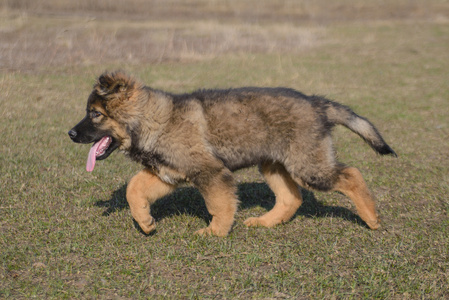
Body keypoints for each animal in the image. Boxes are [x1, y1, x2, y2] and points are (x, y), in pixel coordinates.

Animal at [68, 71, 394, 237]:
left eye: (95, 114)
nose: (70, 134)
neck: (153, 120)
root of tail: (316, 103)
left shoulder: (211, 172)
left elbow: (219, 205)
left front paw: (215, 232)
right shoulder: (167, 174)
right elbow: (134, 189)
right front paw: (146, 222)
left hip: (308, 166)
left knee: (351, 175)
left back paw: (371, 218)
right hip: (274, 165)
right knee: (291, 197)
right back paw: (265, 222)